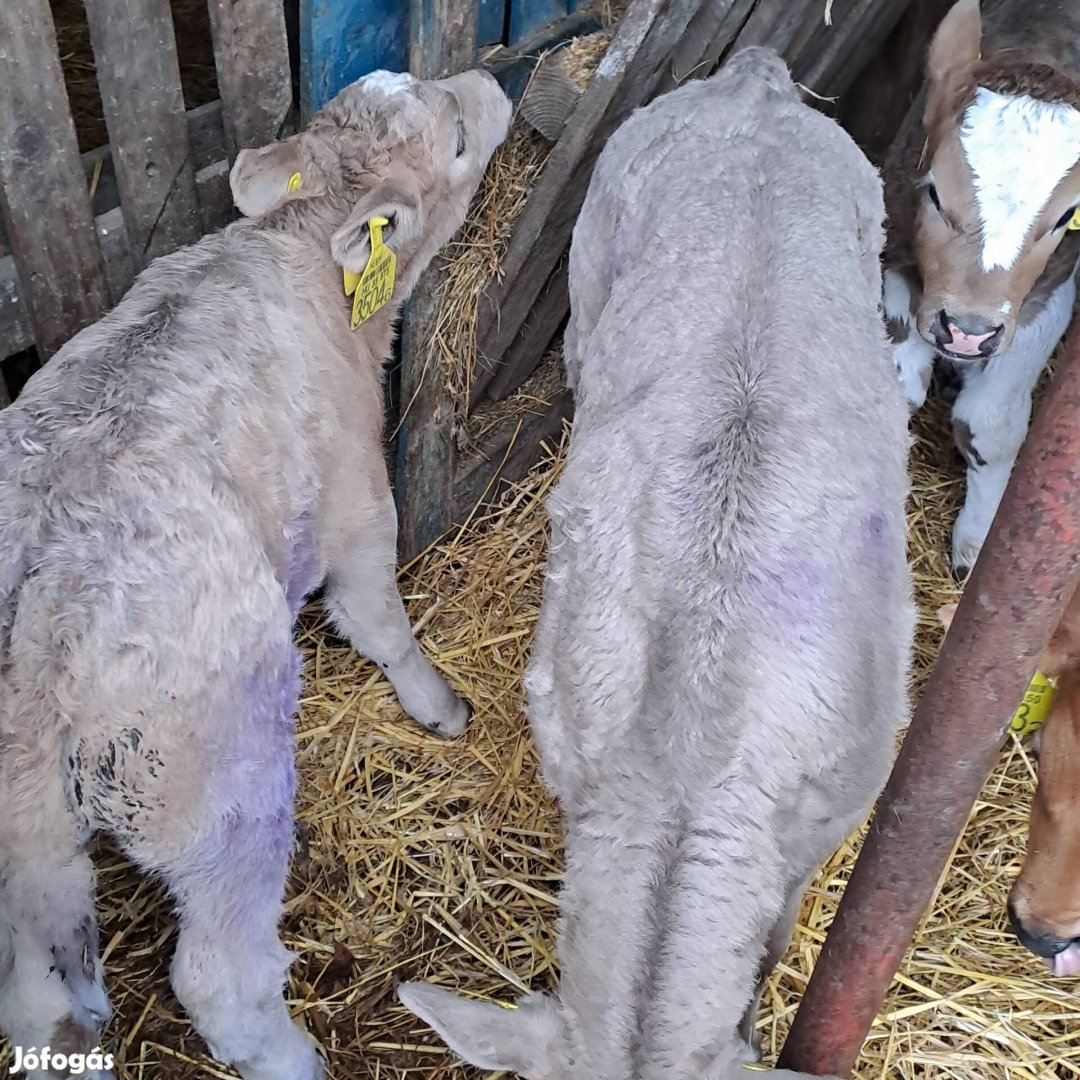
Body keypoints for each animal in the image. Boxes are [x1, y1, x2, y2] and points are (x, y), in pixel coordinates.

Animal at [881, 0, 1080, 578]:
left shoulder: (1051, 291)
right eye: (934, 195)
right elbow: (899, 385)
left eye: (1065, 217)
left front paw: (979, 545)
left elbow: (991, 426)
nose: (968, 332)